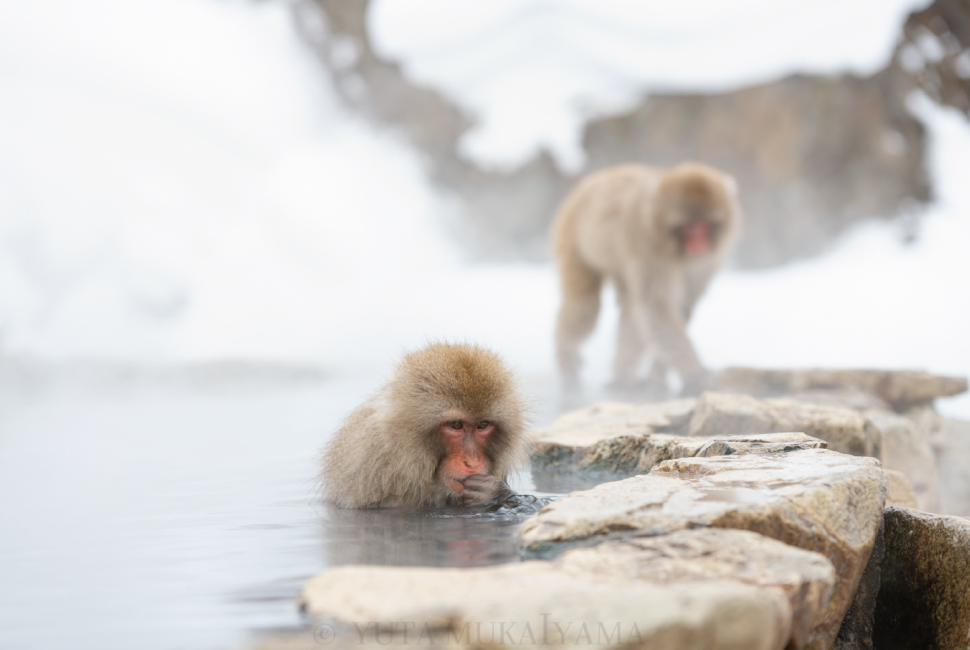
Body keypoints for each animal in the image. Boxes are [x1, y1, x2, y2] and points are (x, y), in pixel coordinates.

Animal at [552, 162, 740, 398]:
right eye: (689, 228)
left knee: (630, 308)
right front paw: (696, 375)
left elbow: (682, 305)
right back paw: (566, 356)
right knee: (585, 304)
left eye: (704, 226)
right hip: (570, 234)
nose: (698, 244)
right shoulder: (648, 243)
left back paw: (623, 378)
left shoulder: (707, 261)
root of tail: (595, 178)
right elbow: (657, 305)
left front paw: (657, 378)